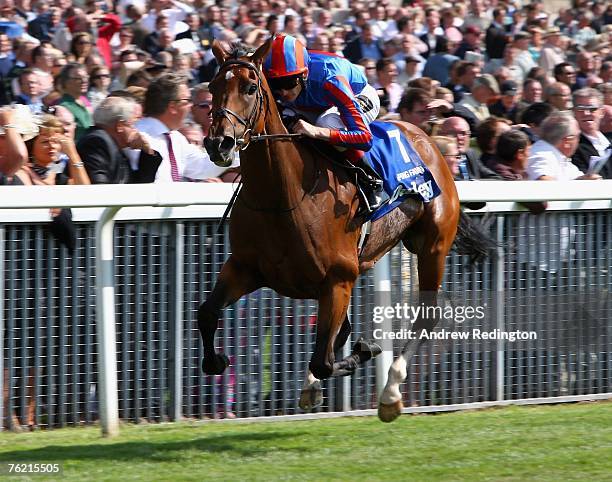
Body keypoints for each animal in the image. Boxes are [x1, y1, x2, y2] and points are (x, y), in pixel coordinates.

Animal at [200, 38, 492, 422]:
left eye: (250, 88)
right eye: (212, 86)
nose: (218, 143)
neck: (281, 196)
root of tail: (428, 138)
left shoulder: (338, 279)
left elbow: (325, 360)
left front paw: (365, 351)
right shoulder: (244, 268)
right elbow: (206, 313)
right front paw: (217, 359)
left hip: (432, 247)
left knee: (427, 317)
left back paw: (391, 392)